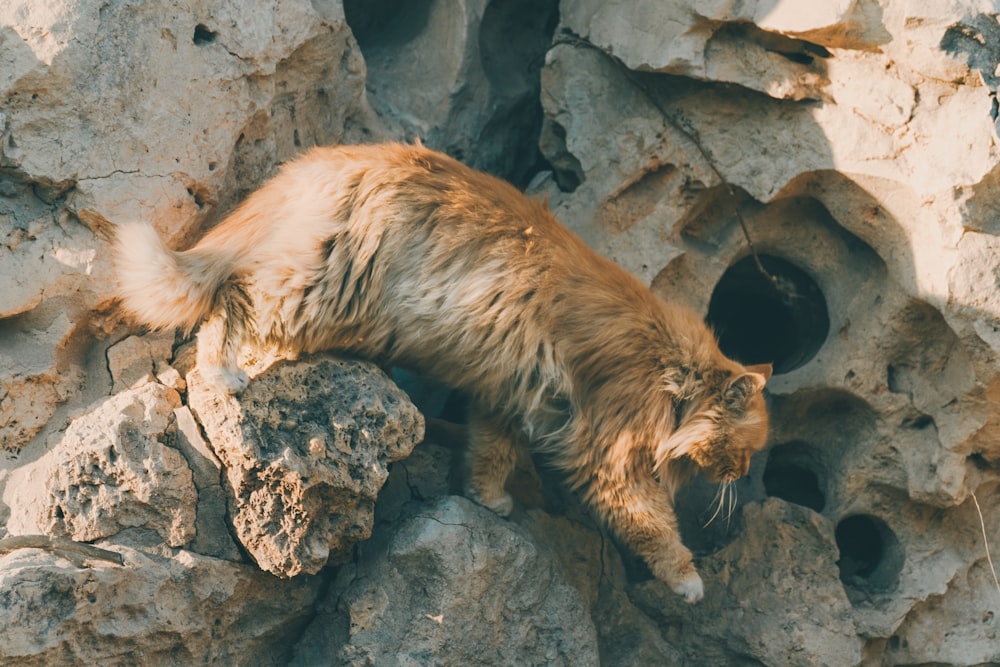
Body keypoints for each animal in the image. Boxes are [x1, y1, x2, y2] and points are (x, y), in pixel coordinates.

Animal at [117, 142, 772, 604]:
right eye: (743, 451)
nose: (741, 475)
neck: (670, 373)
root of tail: (321, 164)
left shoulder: (508, 395)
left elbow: (488, 457)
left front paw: (490, 500)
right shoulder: (611, 455)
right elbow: (655, 527)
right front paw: (688, 582)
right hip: (315, 293)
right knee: (228, 300)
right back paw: (221, 370)